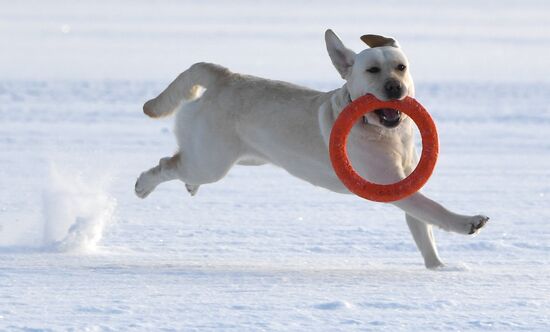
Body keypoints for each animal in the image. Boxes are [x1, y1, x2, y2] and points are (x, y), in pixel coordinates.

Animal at [136, 29, 490, 268]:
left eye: (400, 67)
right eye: (372, 70)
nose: (395, 87)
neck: (385, 134)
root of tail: (225, 75)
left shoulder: (407, 180)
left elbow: (423, 229)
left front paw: (439, 268)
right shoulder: (391, 185)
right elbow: (434, 210)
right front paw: (468, 222)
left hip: (242, 157)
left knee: (181, 160)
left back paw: (188, 186)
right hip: (212, 162)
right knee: (167, 163)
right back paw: (143, 184)